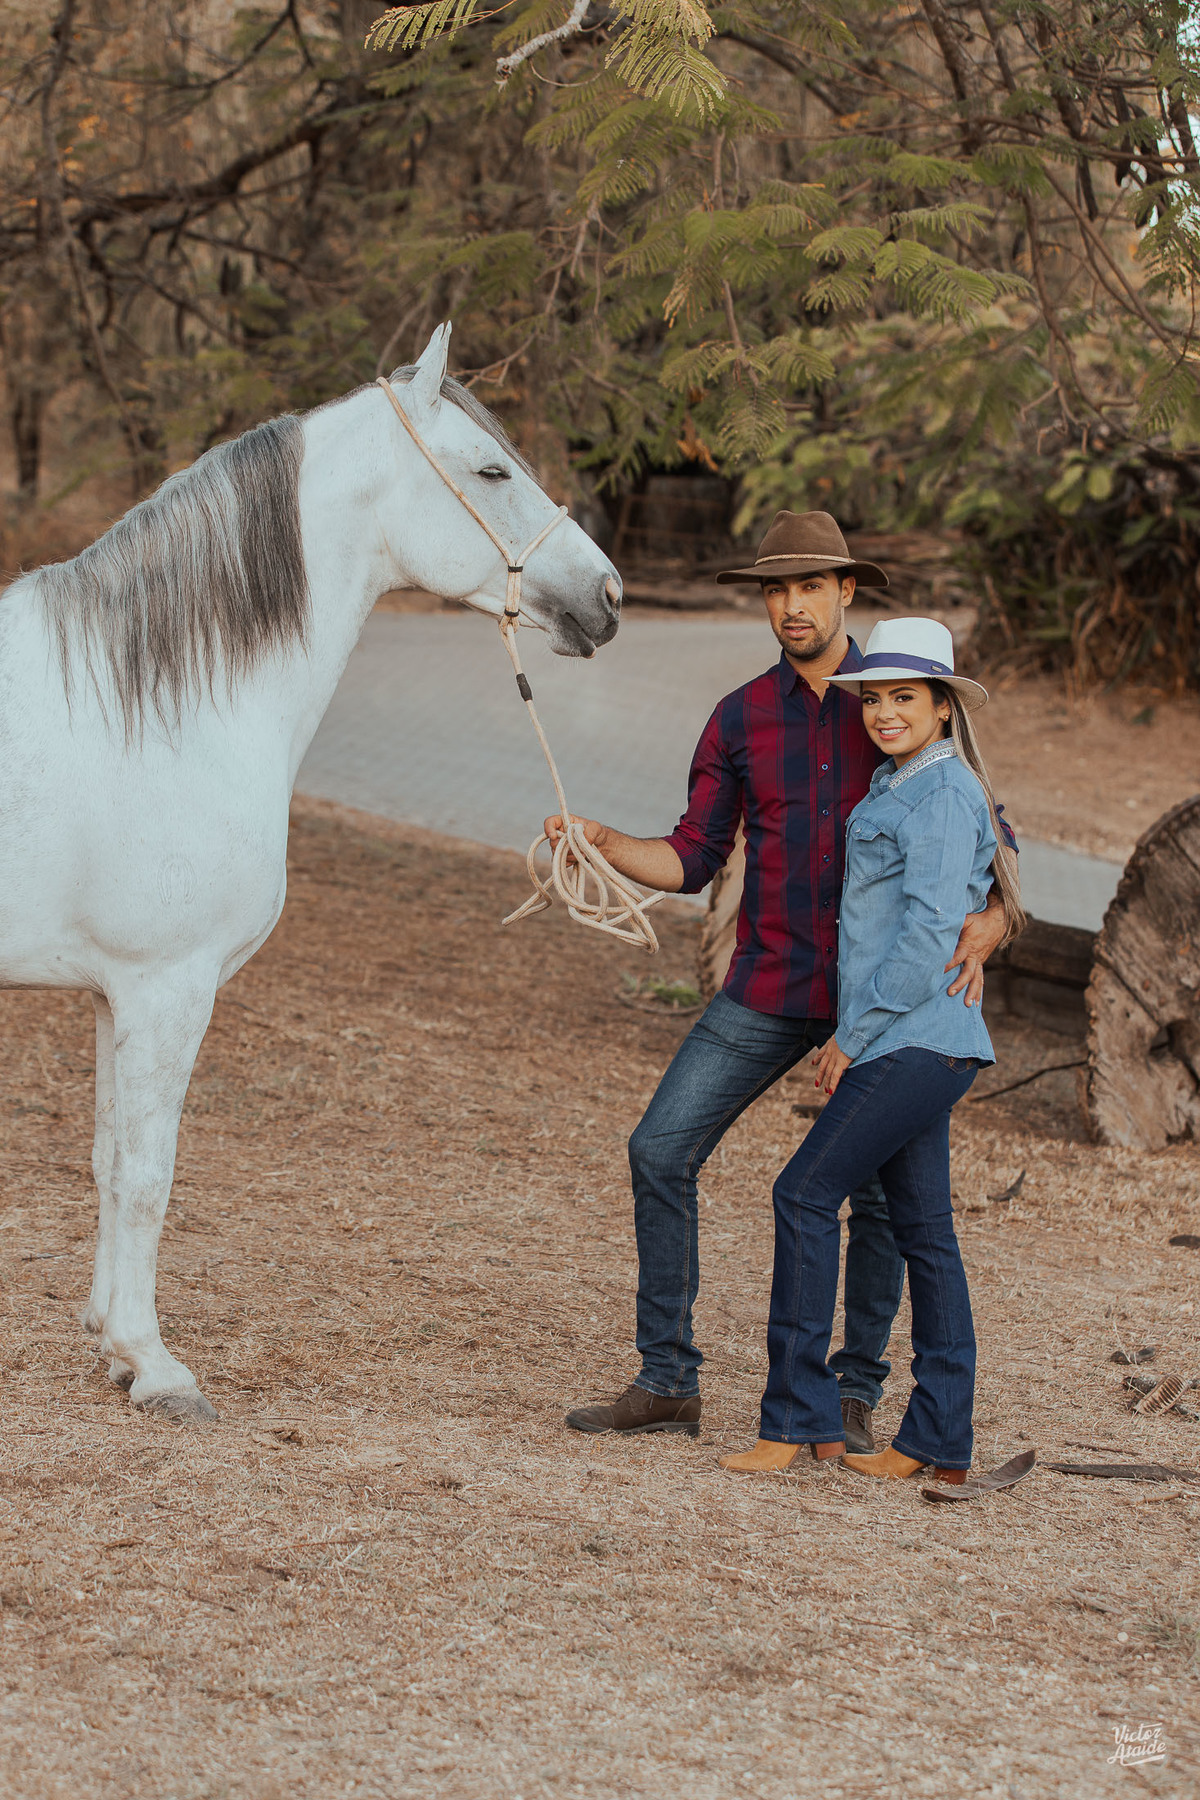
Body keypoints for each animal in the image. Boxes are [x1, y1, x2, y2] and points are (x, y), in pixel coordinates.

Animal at [0, 323, 620, 1423]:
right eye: (493, 469)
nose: (608, 597)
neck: (149, 702)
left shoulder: (114, 996)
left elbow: (109, 1163)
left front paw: (111, 1344)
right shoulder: (166, 987)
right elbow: (149, 1172)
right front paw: (156, 1366)